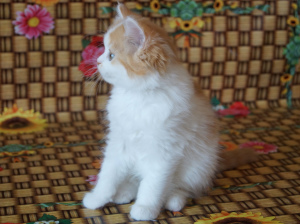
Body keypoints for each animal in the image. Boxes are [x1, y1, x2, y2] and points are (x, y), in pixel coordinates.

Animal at [82, 4, 258, 221]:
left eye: (111, 56)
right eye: (104, 50)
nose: (97, 61)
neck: (139, 97)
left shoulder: (164, 151)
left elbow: (153, 185)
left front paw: (145, 208)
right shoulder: (118, 142)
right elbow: (108, 174)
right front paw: (96, 198)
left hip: (198, 166)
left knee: (182, 187)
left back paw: (174, 199)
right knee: (134, 180)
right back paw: (124, 192)